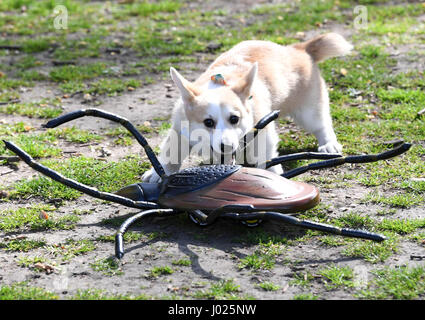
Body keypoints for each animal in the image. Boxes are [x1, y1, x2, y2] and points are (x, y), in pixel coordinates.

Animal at [142, 33, 352, 182]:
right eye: (208, 122)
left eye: (234, 119)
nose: (226, 146)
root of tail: (298, 49)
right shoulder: (179, 130)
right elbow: (171, 153)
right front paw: (157, 173)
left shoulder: (263, 131)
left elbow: (266, 154)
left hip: (308, 110)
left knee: (321, 124)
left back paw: (328, 144)